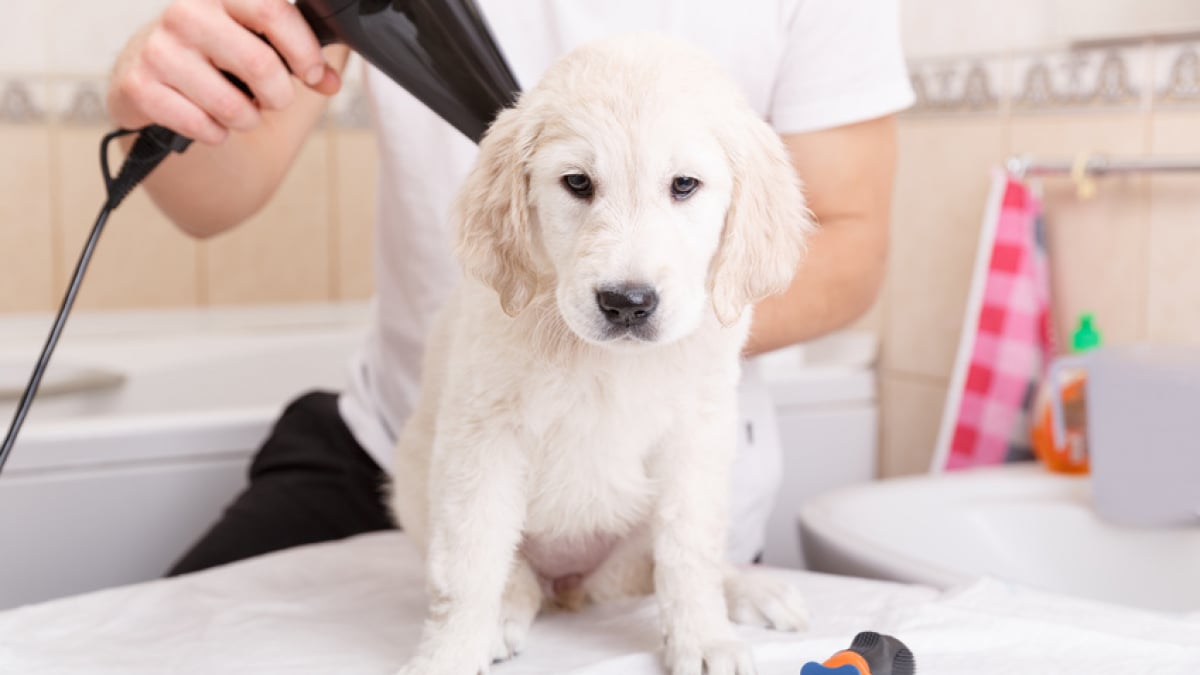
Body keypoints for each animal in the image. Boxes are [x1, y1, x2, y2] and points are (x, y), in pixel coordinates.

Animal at [393, 32, 816, 672]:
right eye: (577, 183)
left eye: (684, 185)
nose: (627, 303)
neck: (606, 360)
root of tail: (572, 587)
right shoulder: (483, 437)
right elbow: (469, 563)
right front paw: (449, 655)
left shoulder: (694, 438)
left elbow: (689, 552)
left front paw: (703, 639)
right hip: (416, 486)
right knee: (513, 575)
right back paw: (503, 617)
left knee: (668, 563)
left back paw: (752, 589)